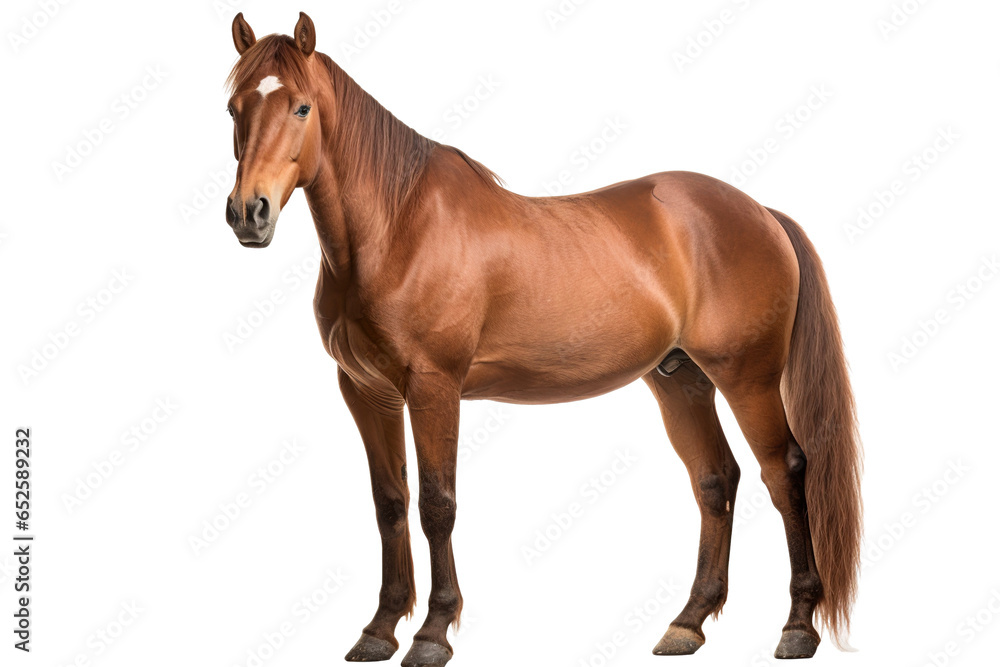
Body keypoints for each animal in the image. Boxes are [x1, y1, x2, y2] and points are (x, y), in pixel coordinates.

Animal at [223, 13, 862, 666]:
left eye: (301, 106)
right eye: (233, 107)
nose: (249, 213)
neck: (397, 227)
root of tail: (760, 211)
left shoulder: (433, 388)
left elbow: (437, 505)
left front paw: (432, 632)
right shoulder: (366, 391)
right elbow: (390, 503)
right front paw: (378, 629)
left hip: (747, 377)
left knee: (784, 472)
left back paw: (797, 625)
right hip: (680, 380)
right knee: (715, 480)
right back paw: (688, 622)